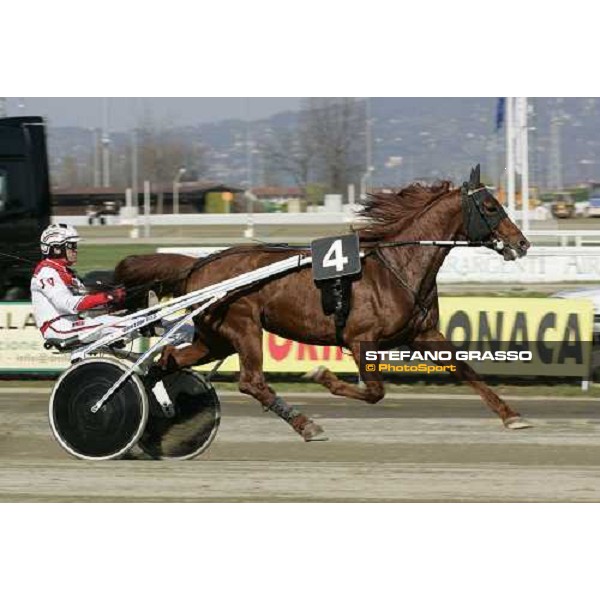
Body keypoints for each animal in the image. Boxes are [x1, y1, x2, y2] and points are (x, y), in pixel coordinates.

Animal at [115, 164, 532, 440]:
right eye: (491, 207)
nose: (522, 242)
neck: (398, 265)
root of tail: (199, 262)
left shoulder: (423, 333)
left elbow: (467, 370)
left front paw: (512, 415)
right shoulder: (361, 339)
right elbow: (375, 392)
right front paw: (322, 375)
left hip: (214, 337)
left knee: (168, 359)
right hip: (243, 326)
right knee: (252, 381)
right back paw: (306, 425)